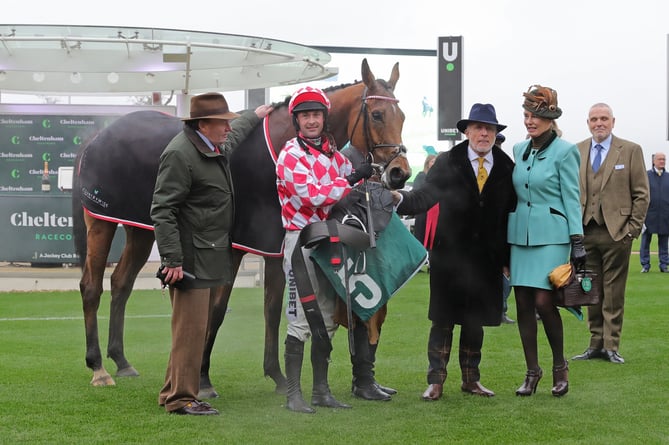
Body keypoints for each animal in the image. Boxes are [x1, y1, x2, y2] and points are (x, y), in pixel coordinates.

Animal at [70, 58, 410, 396]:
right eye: (377, 114)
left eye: (403, 116)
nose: (400, 173)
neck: (277, 149)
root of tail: (97, 137)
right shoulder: (232, 248)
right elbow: (216, 310)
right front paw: (203, 379)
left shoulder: (273, 247)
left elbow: (272, 309)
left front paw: (277, 376)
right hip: (100, 223)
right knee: (92, 286)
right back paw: (98, 367)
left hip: (141, 230)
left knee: (121, 283)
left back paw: (121, 360)